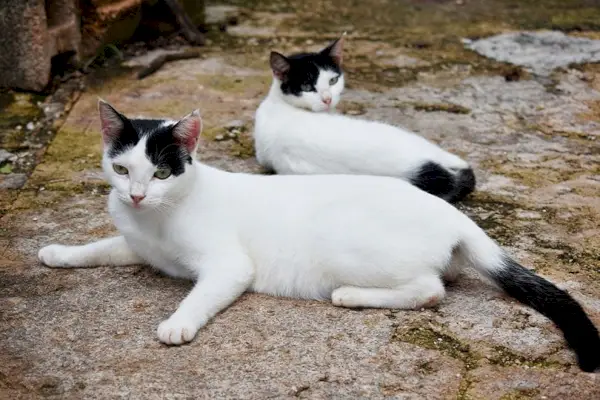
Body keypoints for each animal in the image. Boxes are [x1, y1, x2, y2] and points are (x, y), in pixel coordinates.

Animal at [38, 101, 600, 372]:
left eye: (159, 173)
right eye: (121, 168)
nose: (135, 195)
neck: (156, 218)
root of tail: (452, 214)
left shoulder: (228, 266)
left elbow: (199, 295)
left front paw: (178, 324)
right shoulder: (137, 245)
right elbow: (97, 248)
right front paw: (57, 252)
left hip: (350, 246)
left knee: (431, 290)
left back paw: (351, 296)